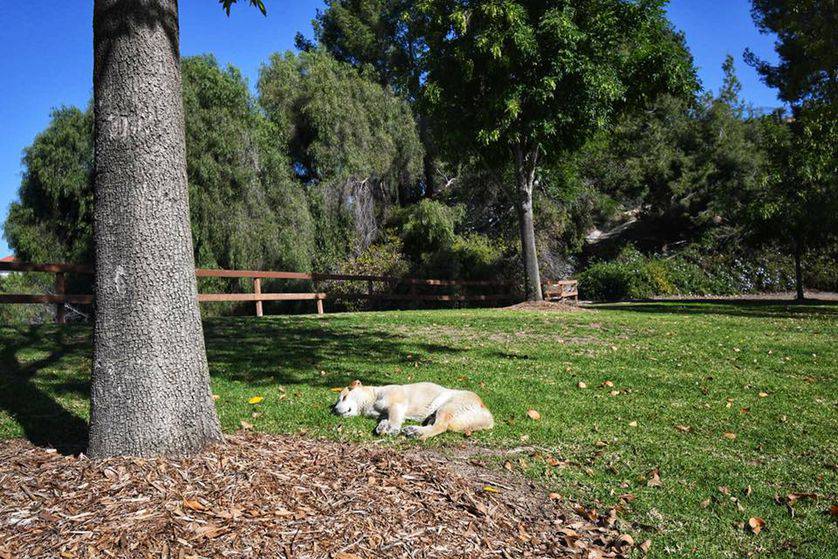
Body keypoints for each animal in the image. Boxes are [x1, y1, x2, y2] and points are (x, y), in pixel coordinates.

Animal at [334, 380, 496, 442]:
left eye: (344, 397)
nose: (334, 409)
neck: (373, 398)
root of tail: (488, 415)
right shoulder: (385, 413)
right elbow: (385, 420)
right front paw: (382, 427)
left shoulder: (396, 404)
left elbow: (394, 418)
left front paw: (392, 429)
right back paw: (414, 429)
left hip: (446, 407)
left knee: (440, 426)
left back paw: (417, 432)